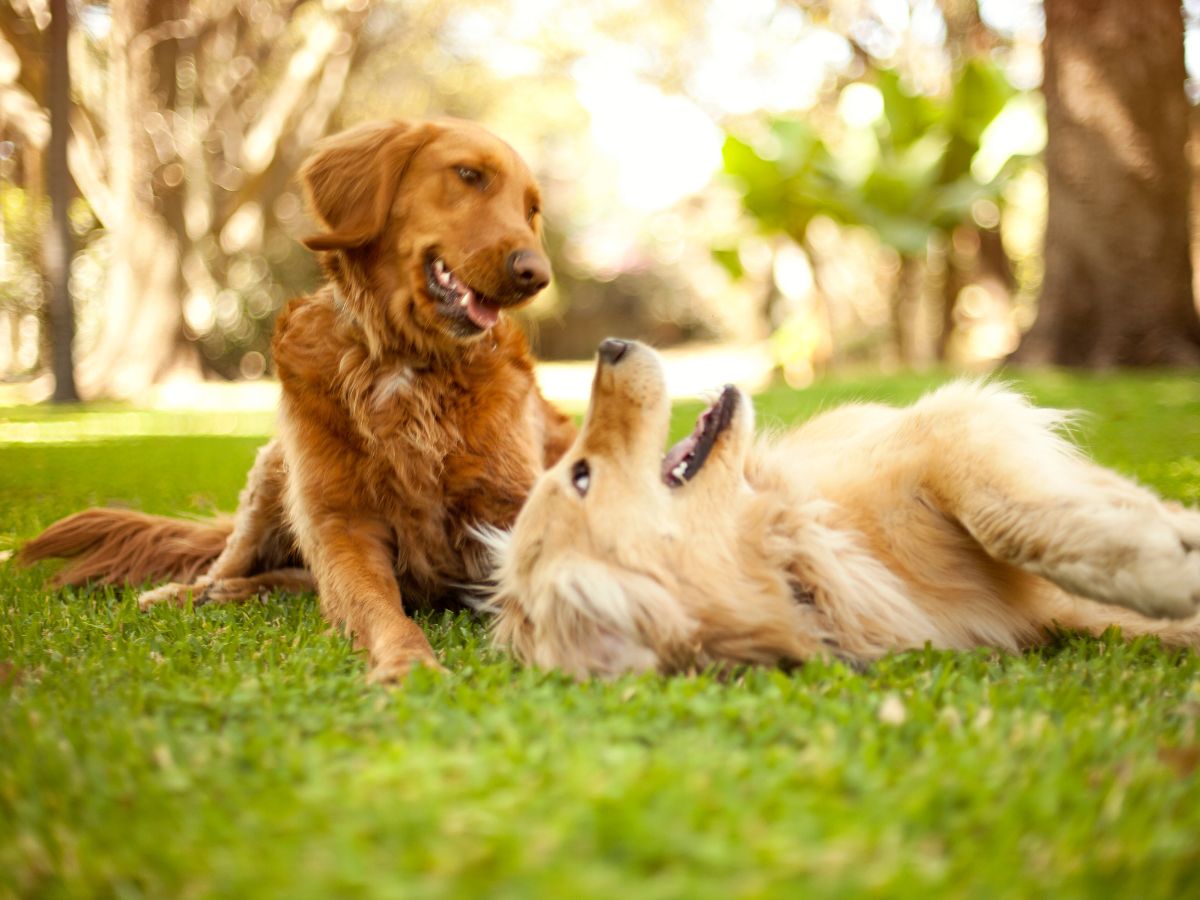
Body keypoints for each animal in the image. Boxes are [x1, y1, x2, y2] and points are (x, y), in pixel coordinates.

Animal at [22, 120, 576, 681]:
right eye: (468, 174)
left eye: (531, 209)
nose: (536, 274)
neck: (405, 362)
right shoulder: (340, 523)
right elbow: (377, 608)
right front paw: (408, 664)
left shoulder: (511, 507)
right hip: (273, 474)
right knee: (229, 565)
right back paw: (189, 593)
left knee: (293, 580)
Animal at [484, 340, 1200, 676]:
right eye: (580, 476)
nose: (609, 347)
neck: (799, 547)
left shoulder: (948, 430)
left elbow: (1010, 520)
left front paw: (1164, 571)